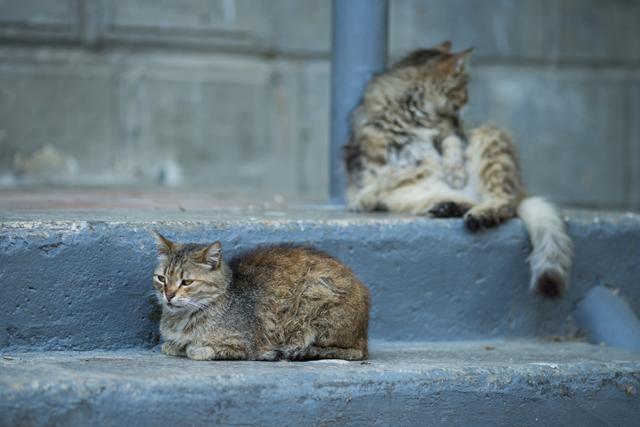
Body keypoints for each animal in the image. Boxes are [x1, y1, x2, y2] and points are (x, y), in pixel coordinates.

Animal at [151, 234, 370, 362]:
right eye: (161, 278)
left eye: (186, 282)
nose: (168, 295)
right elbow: (171, 346)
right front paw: (175, 345)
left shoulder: (242, 345)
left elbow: (197, 350)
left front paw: (192, 348)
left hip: (315, 293)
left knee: (349, 352)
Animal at [342, 41, 572, 300]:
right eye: (462, 86)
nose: (466, 101)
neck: (415, 113)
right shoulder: (367, 147)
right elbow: (371, 177)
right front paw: (362, 198)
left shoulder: (451, 130)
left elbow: (451, 147)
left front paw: (455, 173)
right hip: (411, 196)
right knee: (472, 200)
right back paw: (447, 206)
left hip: (489, 142)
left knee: (505, 203)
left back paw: (479, 213)